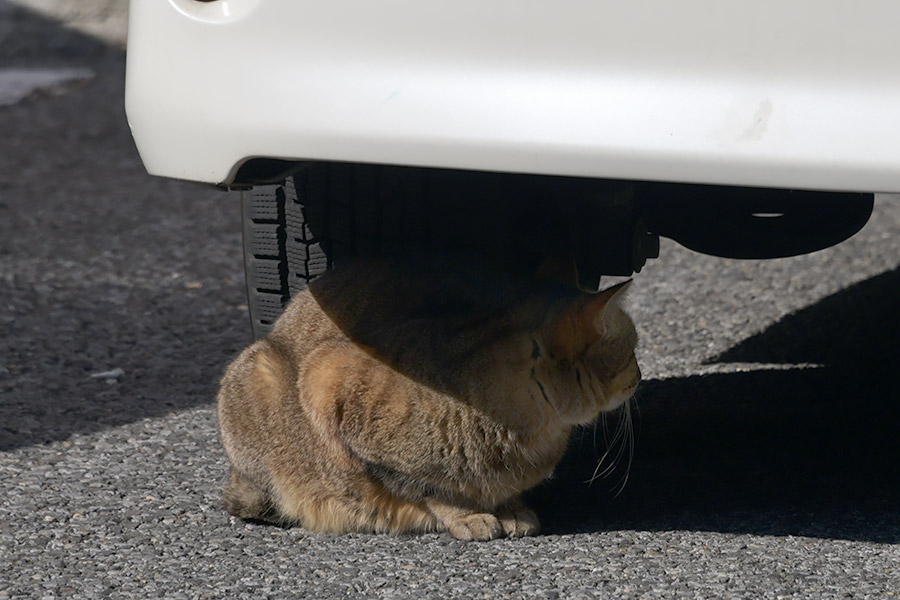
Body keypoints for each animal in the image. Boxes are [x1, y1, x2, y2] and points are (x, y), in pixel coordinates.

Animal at [217, 253, 640, 540]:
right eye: (632, 348)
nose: (640, 375)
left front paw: (509, 506)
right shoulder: (327, 380)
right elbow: (428, 488)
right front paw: (467, 513)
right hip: (260, 378)